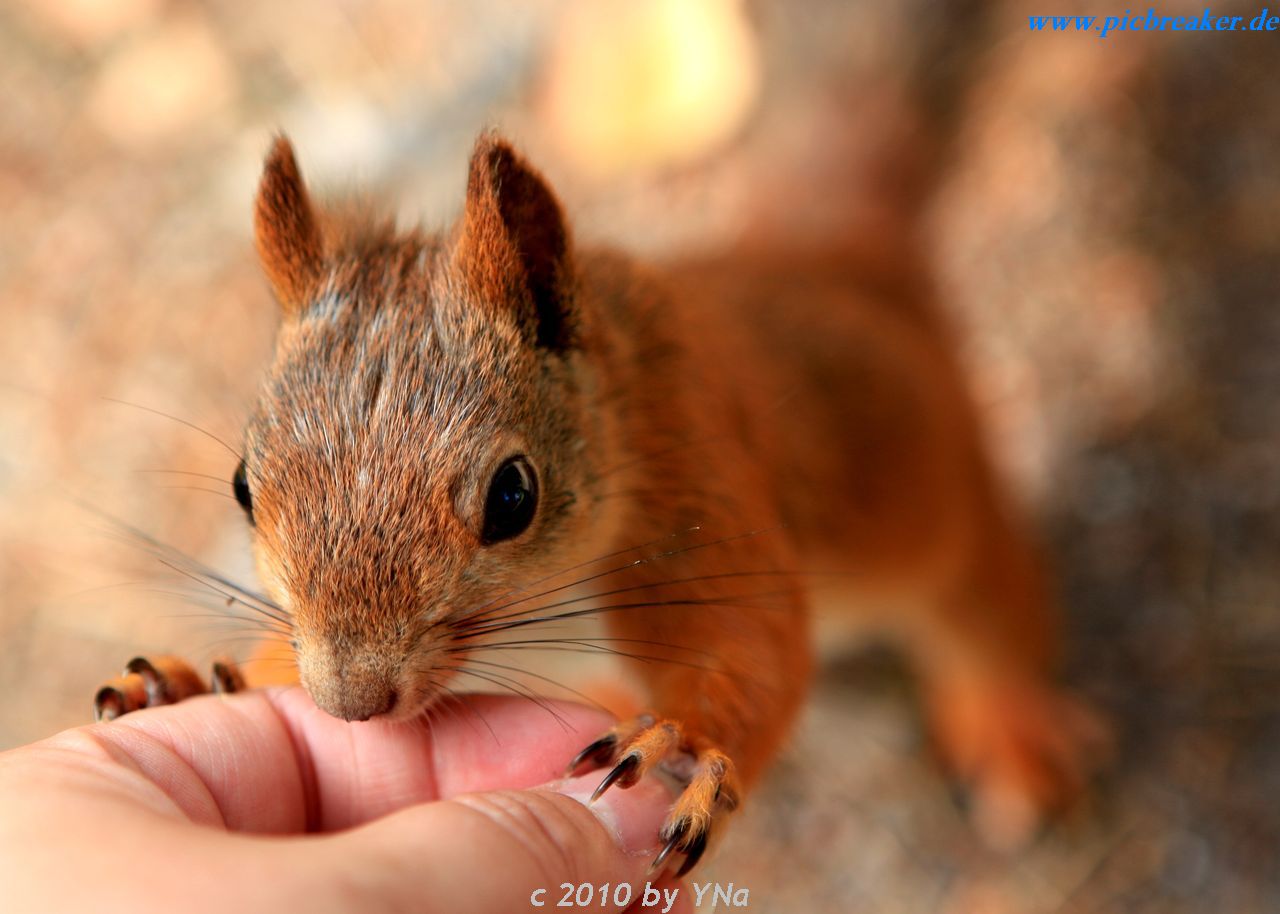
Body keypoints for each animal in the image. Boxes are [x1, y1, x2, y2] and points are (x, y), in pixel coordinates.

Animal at [94, 128, 1105, 870]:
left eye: (513, 496)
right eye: (242, 486)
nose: (351, 703)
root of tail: (826, 258)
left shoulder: (695, 476)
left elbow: (758, 645)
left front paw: (680, 742)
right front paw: (193, 682)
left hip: (935, 496)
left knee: (990, 605)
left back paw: (1007, 726)